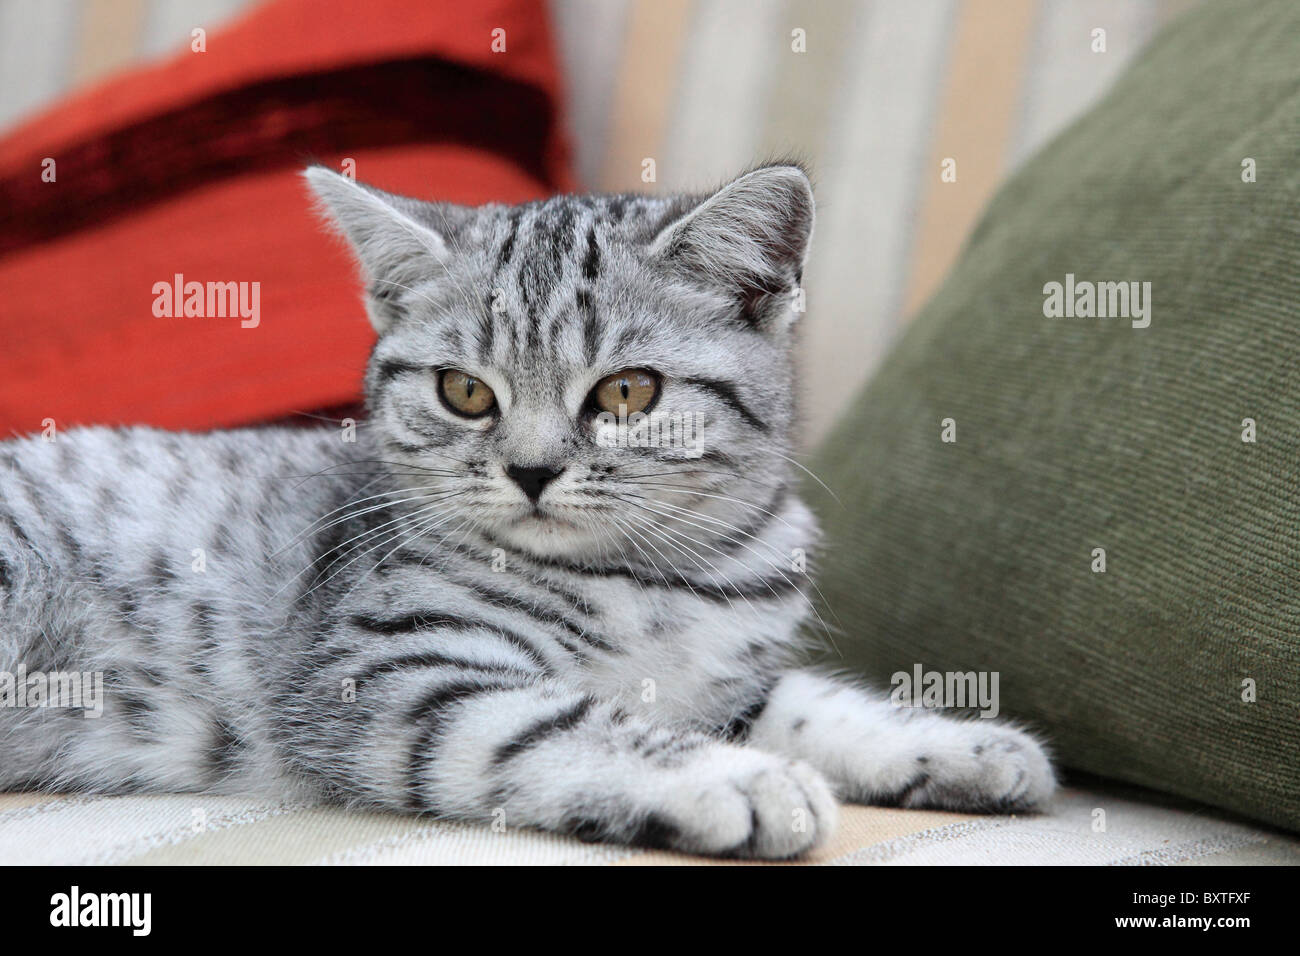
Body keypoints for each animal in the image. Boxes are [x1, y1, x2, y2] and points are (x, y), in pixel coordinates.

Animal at [0, 164, 1055, 858]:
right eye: (466, 393)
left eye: (627, 392)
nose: (533, 470)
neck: (664, 579)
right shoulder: (391, 675)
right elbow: (564, 724)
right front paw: (732, 781)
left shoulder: (730, 680)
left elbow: (807, 703)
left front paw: (963, 745)